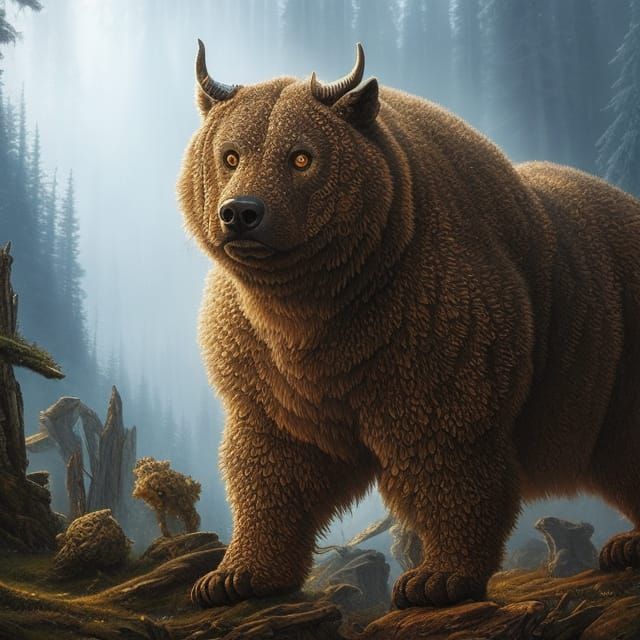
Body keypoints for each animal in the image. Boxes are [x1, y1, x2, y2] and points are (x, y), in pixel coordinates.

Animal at [177, 41, 640, 609]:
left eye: (302, 157)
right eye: (231, 155)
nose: (241, 212)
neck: (312, 306)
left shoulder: (437, 335)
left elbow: (450, 455)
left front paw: (437, 578)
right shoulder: (268, 370)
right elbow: (276, 462)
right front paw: (233, 576)